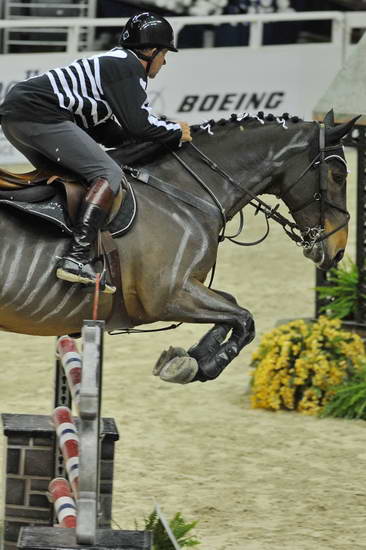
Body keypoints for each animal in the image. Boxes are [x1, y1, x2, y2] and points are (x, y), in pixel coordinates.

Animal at [0, 110, 356, 386]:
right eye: (338, 175)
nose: (337, 250)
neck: (183, 192)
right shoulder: (167, 296)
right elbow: (245, 319)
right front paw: (201, 365)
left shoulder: (188, 287)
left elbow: (233, 308)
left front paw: (185, 359)